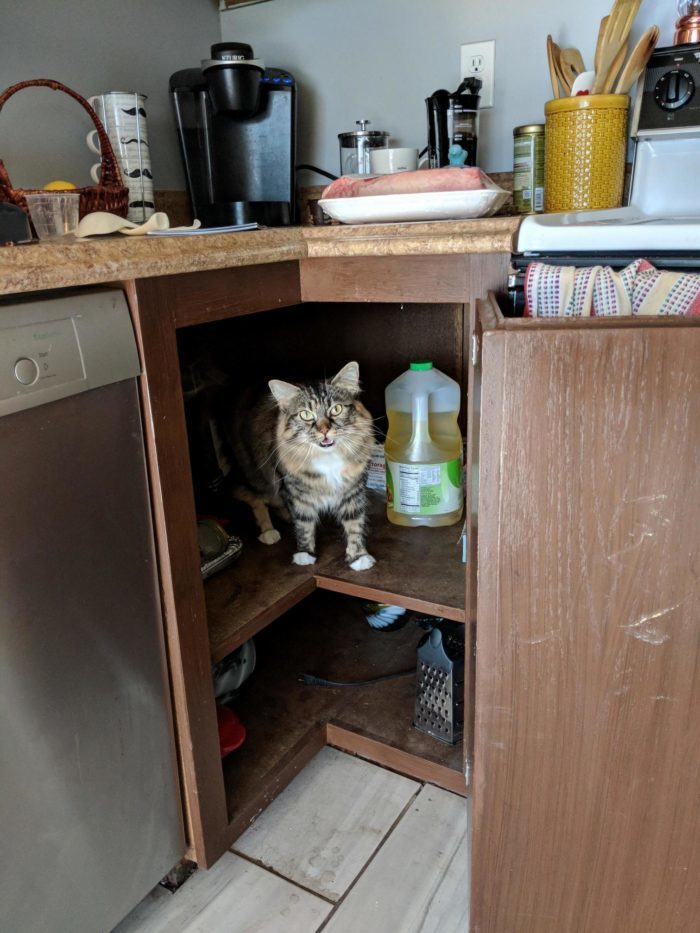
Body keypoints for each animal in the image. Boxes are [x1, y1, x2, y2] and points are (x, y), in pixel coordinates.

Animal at [224, 362, 378, 568]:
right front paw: (305, 553)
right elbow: (304, 523)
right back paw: (268, 531)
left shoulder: (352, 490)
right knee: (252, 496)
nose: (324, 430)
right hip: (261, 478)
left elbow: (355, 523)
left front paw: (358, 557)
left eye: (336, 409)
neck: (328, 457)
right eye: (306, 415)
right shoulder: (297, 492)